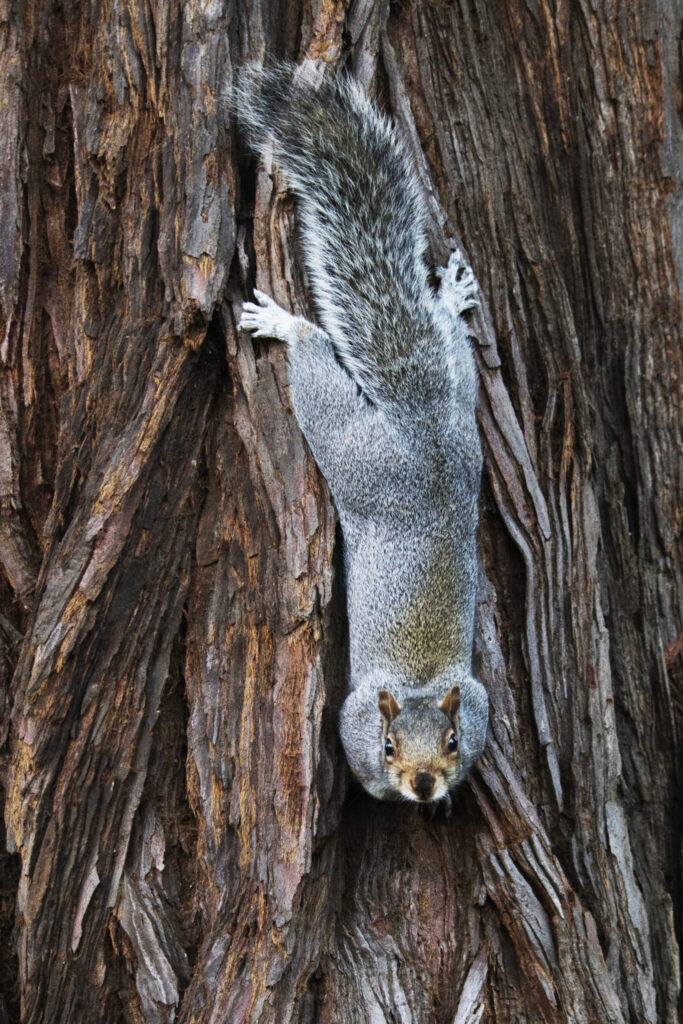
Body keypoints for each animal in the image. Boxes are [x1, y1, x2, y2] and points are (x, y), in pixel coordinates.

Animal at [234, 62, 488, 806]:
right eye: (387, 746)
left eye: (454, 743)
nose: (426, 787)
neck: (420, 686)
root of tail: (420, 421)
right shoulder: (350, 720)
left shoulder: (477, 704)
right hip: (353, 448)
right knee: (318, 367)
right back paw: (286, 325)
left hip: (458, 416)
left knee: (451, 352)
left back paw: (449, 299)